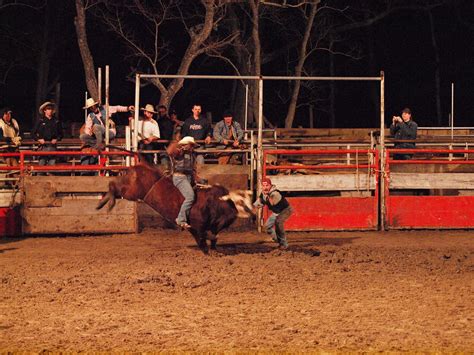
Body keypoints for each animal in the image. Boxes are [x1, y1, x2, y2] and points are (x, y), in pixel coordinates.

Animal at [94, 164, 254, 253]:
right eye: (241, 202)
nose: (253, 215)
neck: (213, 202)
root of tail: (135, 168)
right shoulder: (195, 225)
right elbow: (203, 237)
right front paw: (208, 248)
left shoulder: (212, 225)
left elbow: (211, 238)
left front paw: (213, 249)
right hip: (130, 191)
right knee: (112, 185)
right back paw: (106, 204)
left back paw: (103, 204)